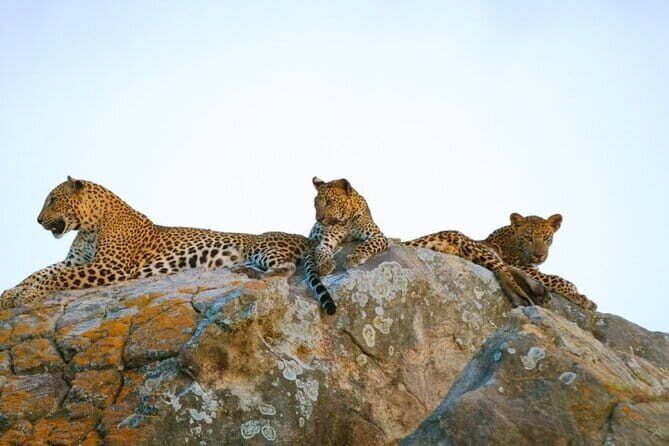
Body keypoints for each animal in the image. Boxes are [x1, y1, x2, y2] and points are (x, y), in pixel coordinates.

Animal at [1, 176, 337, 315]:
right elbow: (40, 272)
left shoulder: (108, 267)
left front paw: (26, 295)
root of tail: (306, 237)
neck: (89, 225)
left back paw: (255, 274)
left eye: (53, 199)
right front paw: (11, 294)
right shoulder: (77, 261)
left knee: (286, 267)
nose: (38, 220)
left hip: (263, 247)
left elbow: (55, 277)